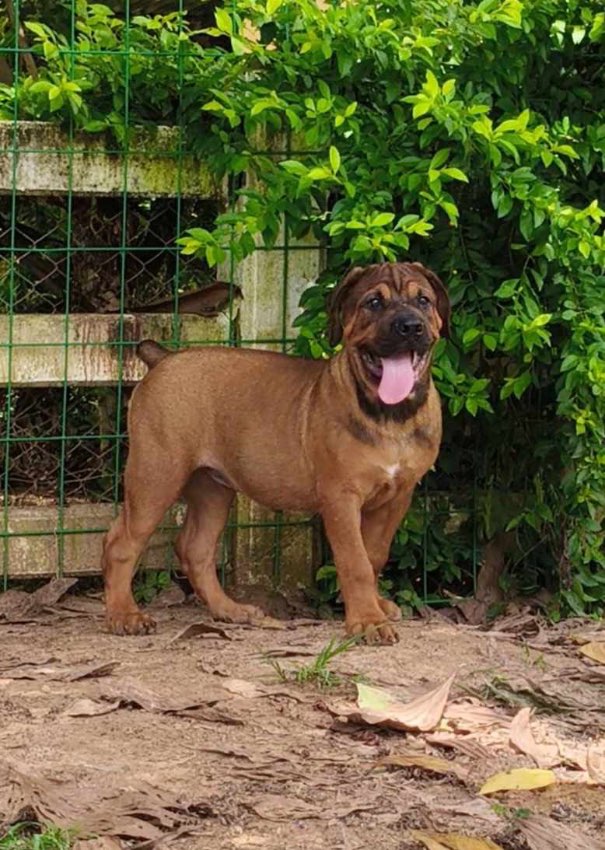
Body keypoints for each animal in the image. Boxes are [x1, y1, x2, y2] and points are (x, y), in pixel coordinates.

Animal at [101, 260, 446, 644]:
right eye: (373, 303)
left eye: (424, 300)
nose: (410, 326)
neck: (390, 415)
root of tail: (163, 359)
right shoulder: (341, 498)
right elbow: (354, 561)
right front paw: (367, 621)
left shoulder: (396, 497)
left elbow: (373, 556)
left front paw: (373, 607)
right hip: (156, 474)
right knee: (120, 543)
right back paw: (124, 615)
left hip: (211, 487)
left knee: (195, 550)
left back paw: (229, 610)